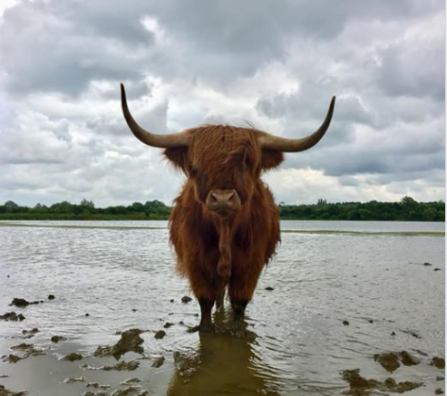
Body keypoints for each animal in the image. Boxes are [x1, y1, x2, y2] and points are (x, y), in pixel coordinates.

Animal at [121, 83, 334, 328]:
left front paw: (236, 328)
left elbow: (240, 303)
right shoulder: (196, 264)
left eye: (246, 162)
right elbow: (205, 302)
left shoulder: (250, 266)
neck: (225, 229)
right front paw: (207, 328)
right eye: (195, 165)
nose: (222, 199)